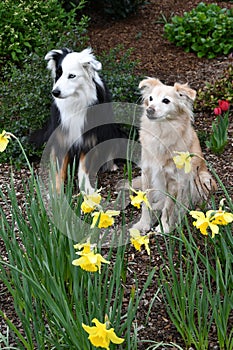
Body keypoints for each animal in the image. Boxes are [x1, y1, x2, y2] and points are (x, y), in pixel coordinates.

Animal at [30, 47, 127, 193]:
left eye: (72, 76)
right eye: (58, 73)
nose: (55, 92)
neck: (75, 102)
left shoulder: (88, 137)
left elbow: (84, 167)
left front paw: (86, 190)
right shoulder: (61, 137)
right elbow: (59, 168)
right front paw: (57, 193)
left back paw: (111, 165)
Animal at [134, 78, 218, 234]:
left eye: (166, 101)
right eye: (150, 98)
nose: (149, 109)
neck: (161, 131)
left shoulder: (174, 180)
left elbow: (168, 207)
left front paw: (164, 227)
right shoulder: (147, 173)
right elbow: (145, 202)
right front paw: (143, 224)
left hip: (203, 178)